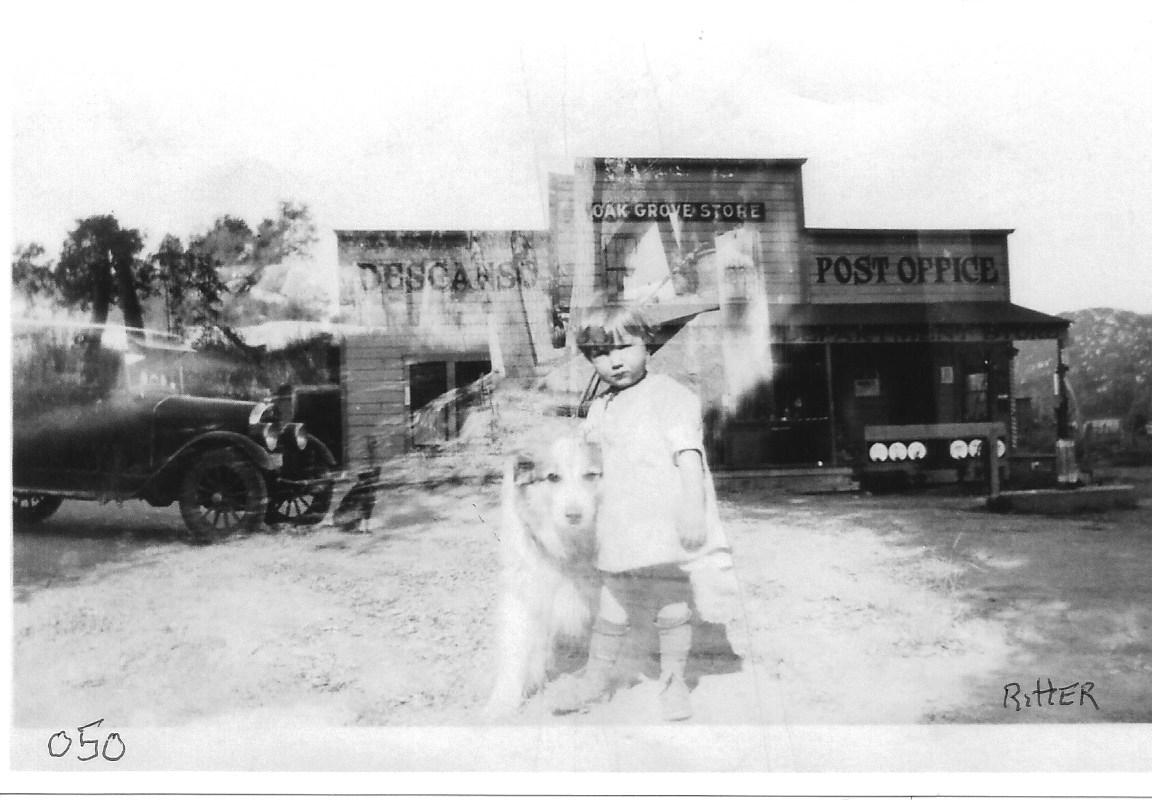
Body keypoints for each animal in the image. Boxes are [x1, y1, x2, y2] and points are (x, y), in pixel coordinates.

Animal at [483, 438, 603, 719]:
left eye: (591, 475)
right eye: (552, 477)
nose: (574, 515)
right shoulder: (524, 591)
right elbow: (515, 650)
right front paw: (502, 702)